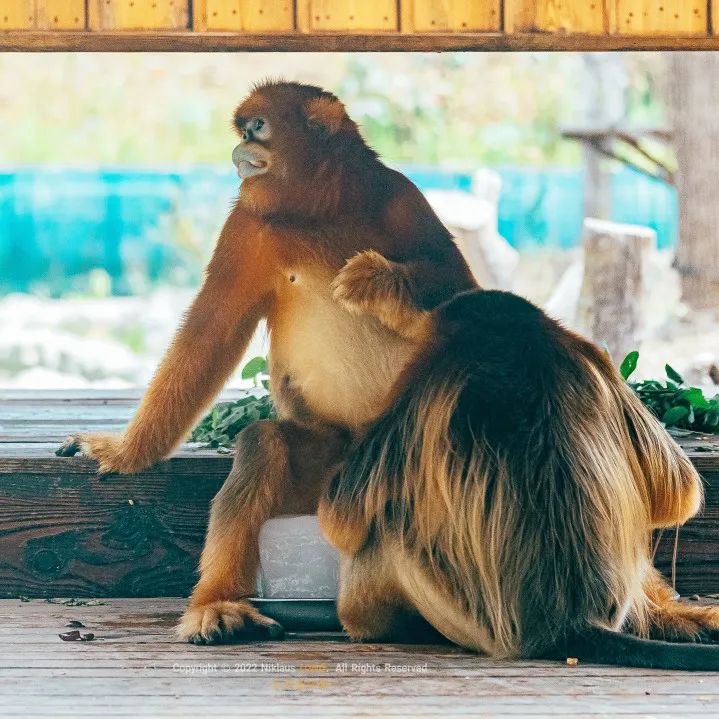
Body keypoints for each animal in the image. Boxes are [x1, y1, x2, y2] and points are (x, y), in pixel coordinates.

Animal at [54, 81, 478, 644]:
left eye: (257, 127)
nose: (239, 149)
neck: (319, 211)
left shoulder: (401, 195)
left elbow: (463, 289)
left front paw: (378, 282)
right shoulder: (247, 222)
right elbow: (210, 334)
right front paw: (125, 452)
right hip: (329, 476)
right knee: (263, 444)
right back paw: (218, 603)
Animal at [320, 290, 719, 672]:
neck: (514, 334)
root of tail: (570, 620)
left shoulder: (422, 377)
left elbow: (342, 520)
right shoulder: (592, 357)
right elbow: (678, 493)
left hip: (452, 608)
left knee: (383, 529)